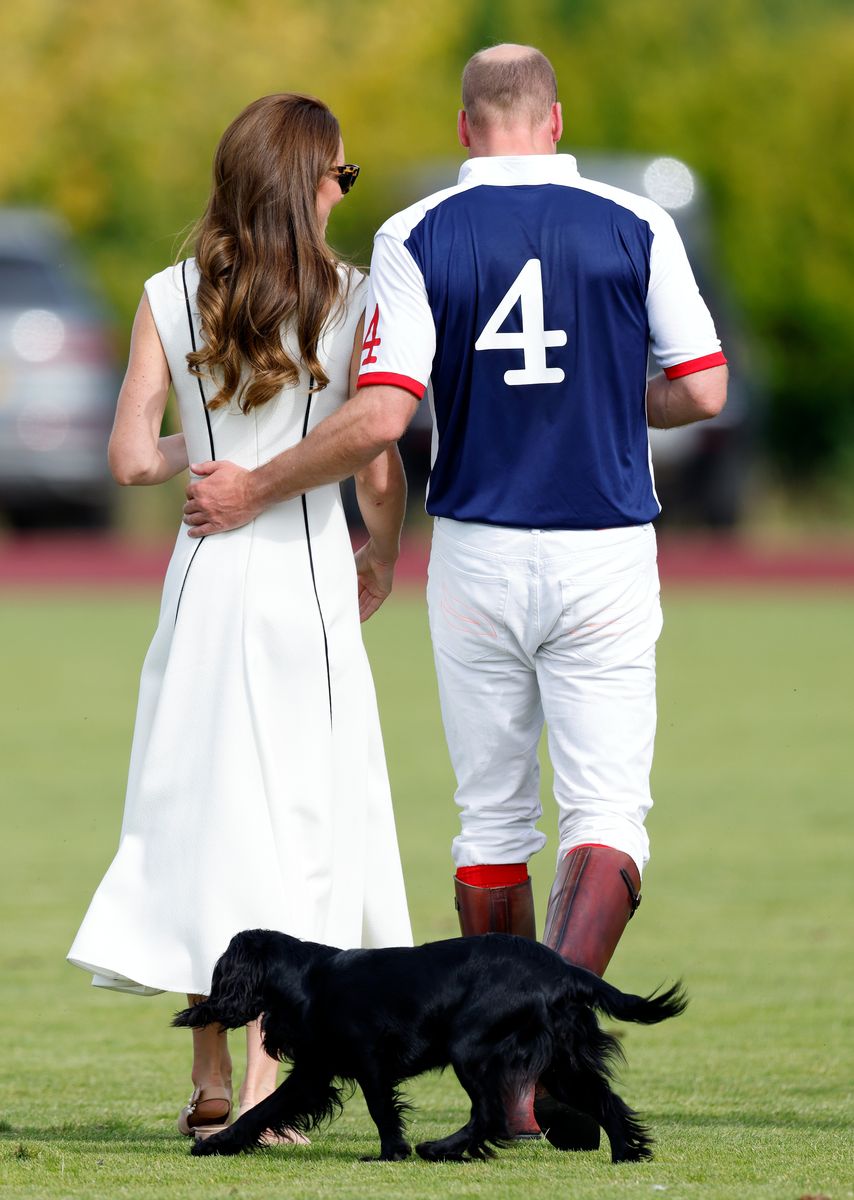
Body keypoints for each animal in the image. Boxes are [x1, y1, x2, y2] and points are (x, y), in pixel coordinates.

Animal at [173, 926, 686, 1161]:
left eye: (219, 974)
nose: (202, 1006)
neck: (308, 979)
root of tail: (563, 970)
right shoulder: (315, 1072)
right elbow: (263, 1110)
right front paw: (221, 1142)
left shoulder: (369, 1062)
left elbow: (382, 1110)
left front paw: (391, 1152)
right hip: (563, 1064)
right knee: (606, 1101)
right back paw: (626, 1154)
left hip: (472, 1050)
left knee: (491, 1114)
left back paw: (439, 1148)